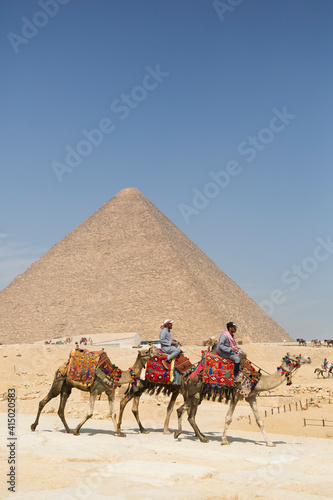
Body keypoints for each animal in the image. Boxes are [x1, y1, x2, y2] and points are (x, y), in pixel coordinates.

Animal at [174, 354, 312, 448]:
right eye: (296, 357)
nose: (309, 358)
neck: (257, 381)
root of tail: (187, 374)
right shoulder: (236, 394)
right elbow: (228, 418)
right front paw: (224, 440)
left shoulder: (251, 397)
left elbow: (259, 420)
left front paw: (270, 442)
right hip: (194, 392)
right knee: (182, 410)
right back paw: (180, 434)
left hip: (197, 395)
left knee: (188, 414)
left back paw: (199, 438)